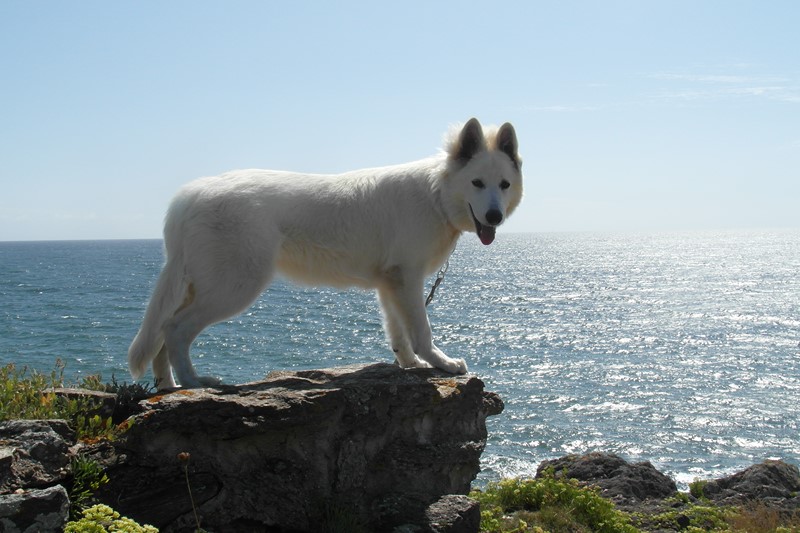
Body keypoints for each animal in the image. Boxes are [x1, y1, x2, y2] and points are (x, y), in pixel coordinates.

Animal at [128, 118, 520, 388]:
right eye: (477, 183)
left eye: (503, 185)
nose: (494, 217)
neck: (436, 193)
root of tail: (190, 196)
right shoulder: (408, 279)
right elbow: (421, 330)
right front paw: (441, 363)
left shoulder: (391, 284)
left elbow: (398, 332)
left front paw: (411, 364)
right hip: (234, 287)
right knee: (174, 329)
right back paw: (194, 384)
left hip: (200, 286)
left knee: (162, 331)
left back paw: (168, 387)